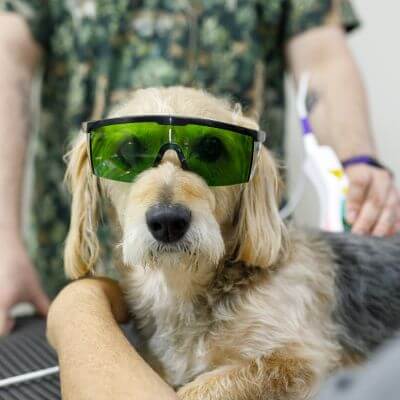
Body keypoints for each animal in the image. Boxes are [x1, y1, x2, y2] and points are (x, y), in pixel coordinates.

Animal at [62, 88, 400, 400]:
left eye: (212, 148)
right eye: (129, 150)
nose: (168, 221)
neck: (183, 286)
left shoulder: (301, 362)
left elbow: (202, 388)